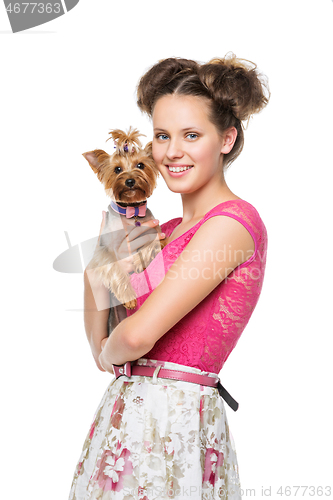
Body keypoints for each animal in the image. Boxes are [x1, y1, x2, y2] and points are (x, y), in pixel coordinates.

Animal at [83, 127, 166, 310]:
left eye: (140, 165)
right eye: (117, 169)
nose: (130, 181)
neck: (132, 210)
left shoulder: (154, 229)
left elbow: (155, 240)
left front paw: (140, 259)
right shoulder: (103, 250)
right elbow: (113, 267)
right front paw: (129, 297)